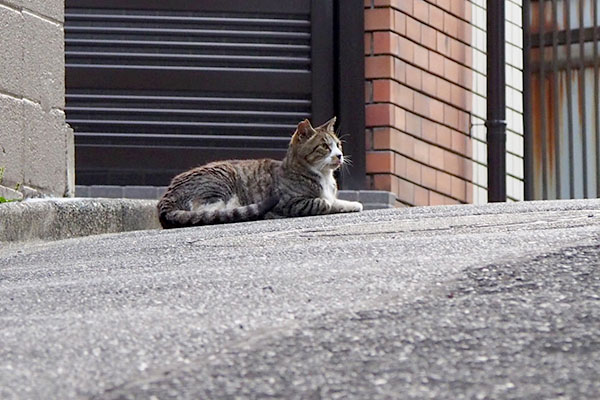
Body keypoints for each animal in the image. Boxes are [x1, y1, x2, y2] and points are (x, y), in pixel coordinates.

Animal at [157, 116, 364, 228]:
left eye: (338, 145)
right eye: (324, 147)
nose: (339, 155)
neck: (325, 176)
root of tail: (164, 200)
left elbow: (336, 201)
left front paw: (352, 204)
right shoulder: (291, 203)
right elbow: (323, 203)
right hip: (220, 180)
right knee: (207, 211)